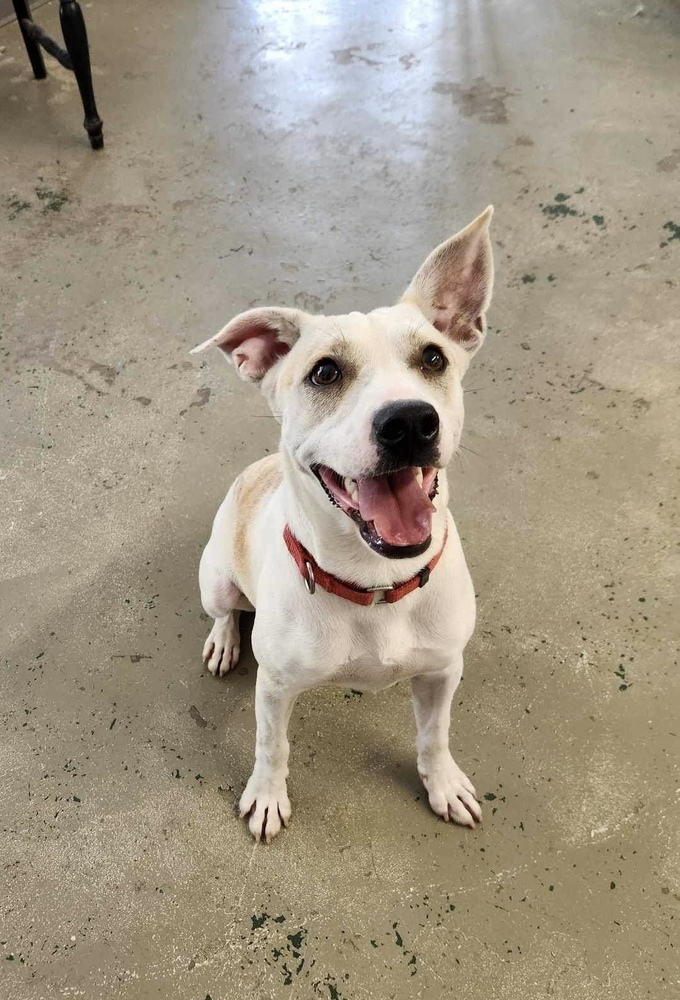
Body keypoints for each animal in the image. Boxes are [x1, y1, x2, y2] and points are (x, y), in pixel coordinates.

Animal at [190, 209, 494, 844]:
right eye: (325, 372)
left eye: (434, 358)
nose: (410, 422)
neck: (374, 584)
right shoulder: (275, 687)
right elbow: (271, 747)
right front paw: (266, 797)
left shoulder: (443, 672)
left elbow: (434, 737)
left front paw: (443, 784)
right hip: (216, 579)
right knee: (225, 610)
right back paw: (224, 640)